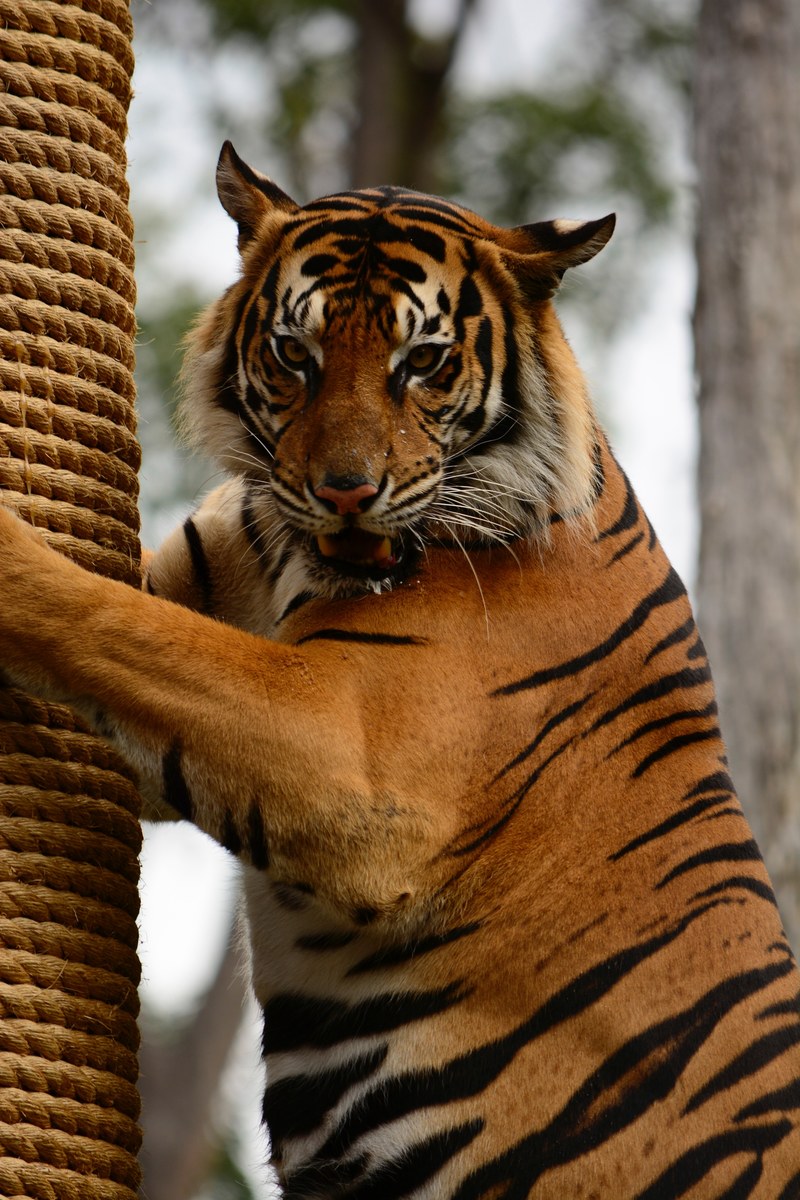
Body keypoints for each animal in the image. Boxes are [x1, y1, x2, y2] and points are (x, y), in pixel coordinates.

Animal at [1, 140, 799, 1198]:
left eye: (422, 362)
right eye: (293, 354)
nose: (346, 492)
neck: (291, 556)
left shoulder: (351, 749)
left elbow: (113, 623)